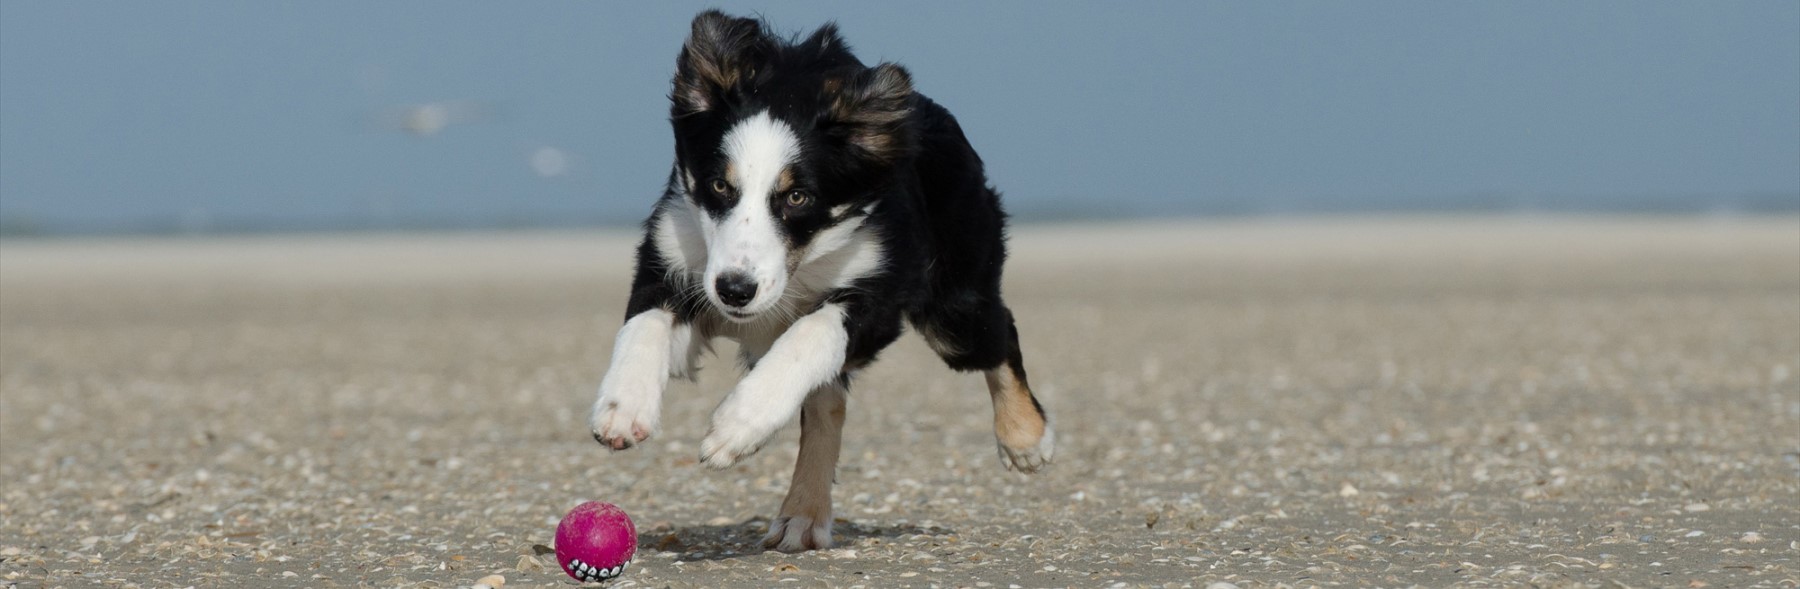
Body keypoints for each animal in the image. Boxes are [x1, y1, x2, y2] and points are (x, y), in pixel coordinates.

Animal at [586, 9, 1051, 554]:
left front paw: (736, 426)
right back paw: (803, 514)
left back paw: (1025, 439)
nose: (736, 291)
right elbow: (643, 324)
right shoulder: (677, 260)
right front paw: (622, 407)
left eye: (797, 197)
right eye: (720, 185)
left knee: (999, 334)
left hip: (954, 306)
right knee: (828, 404)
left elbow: (810, 334)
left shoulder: (880, 293)